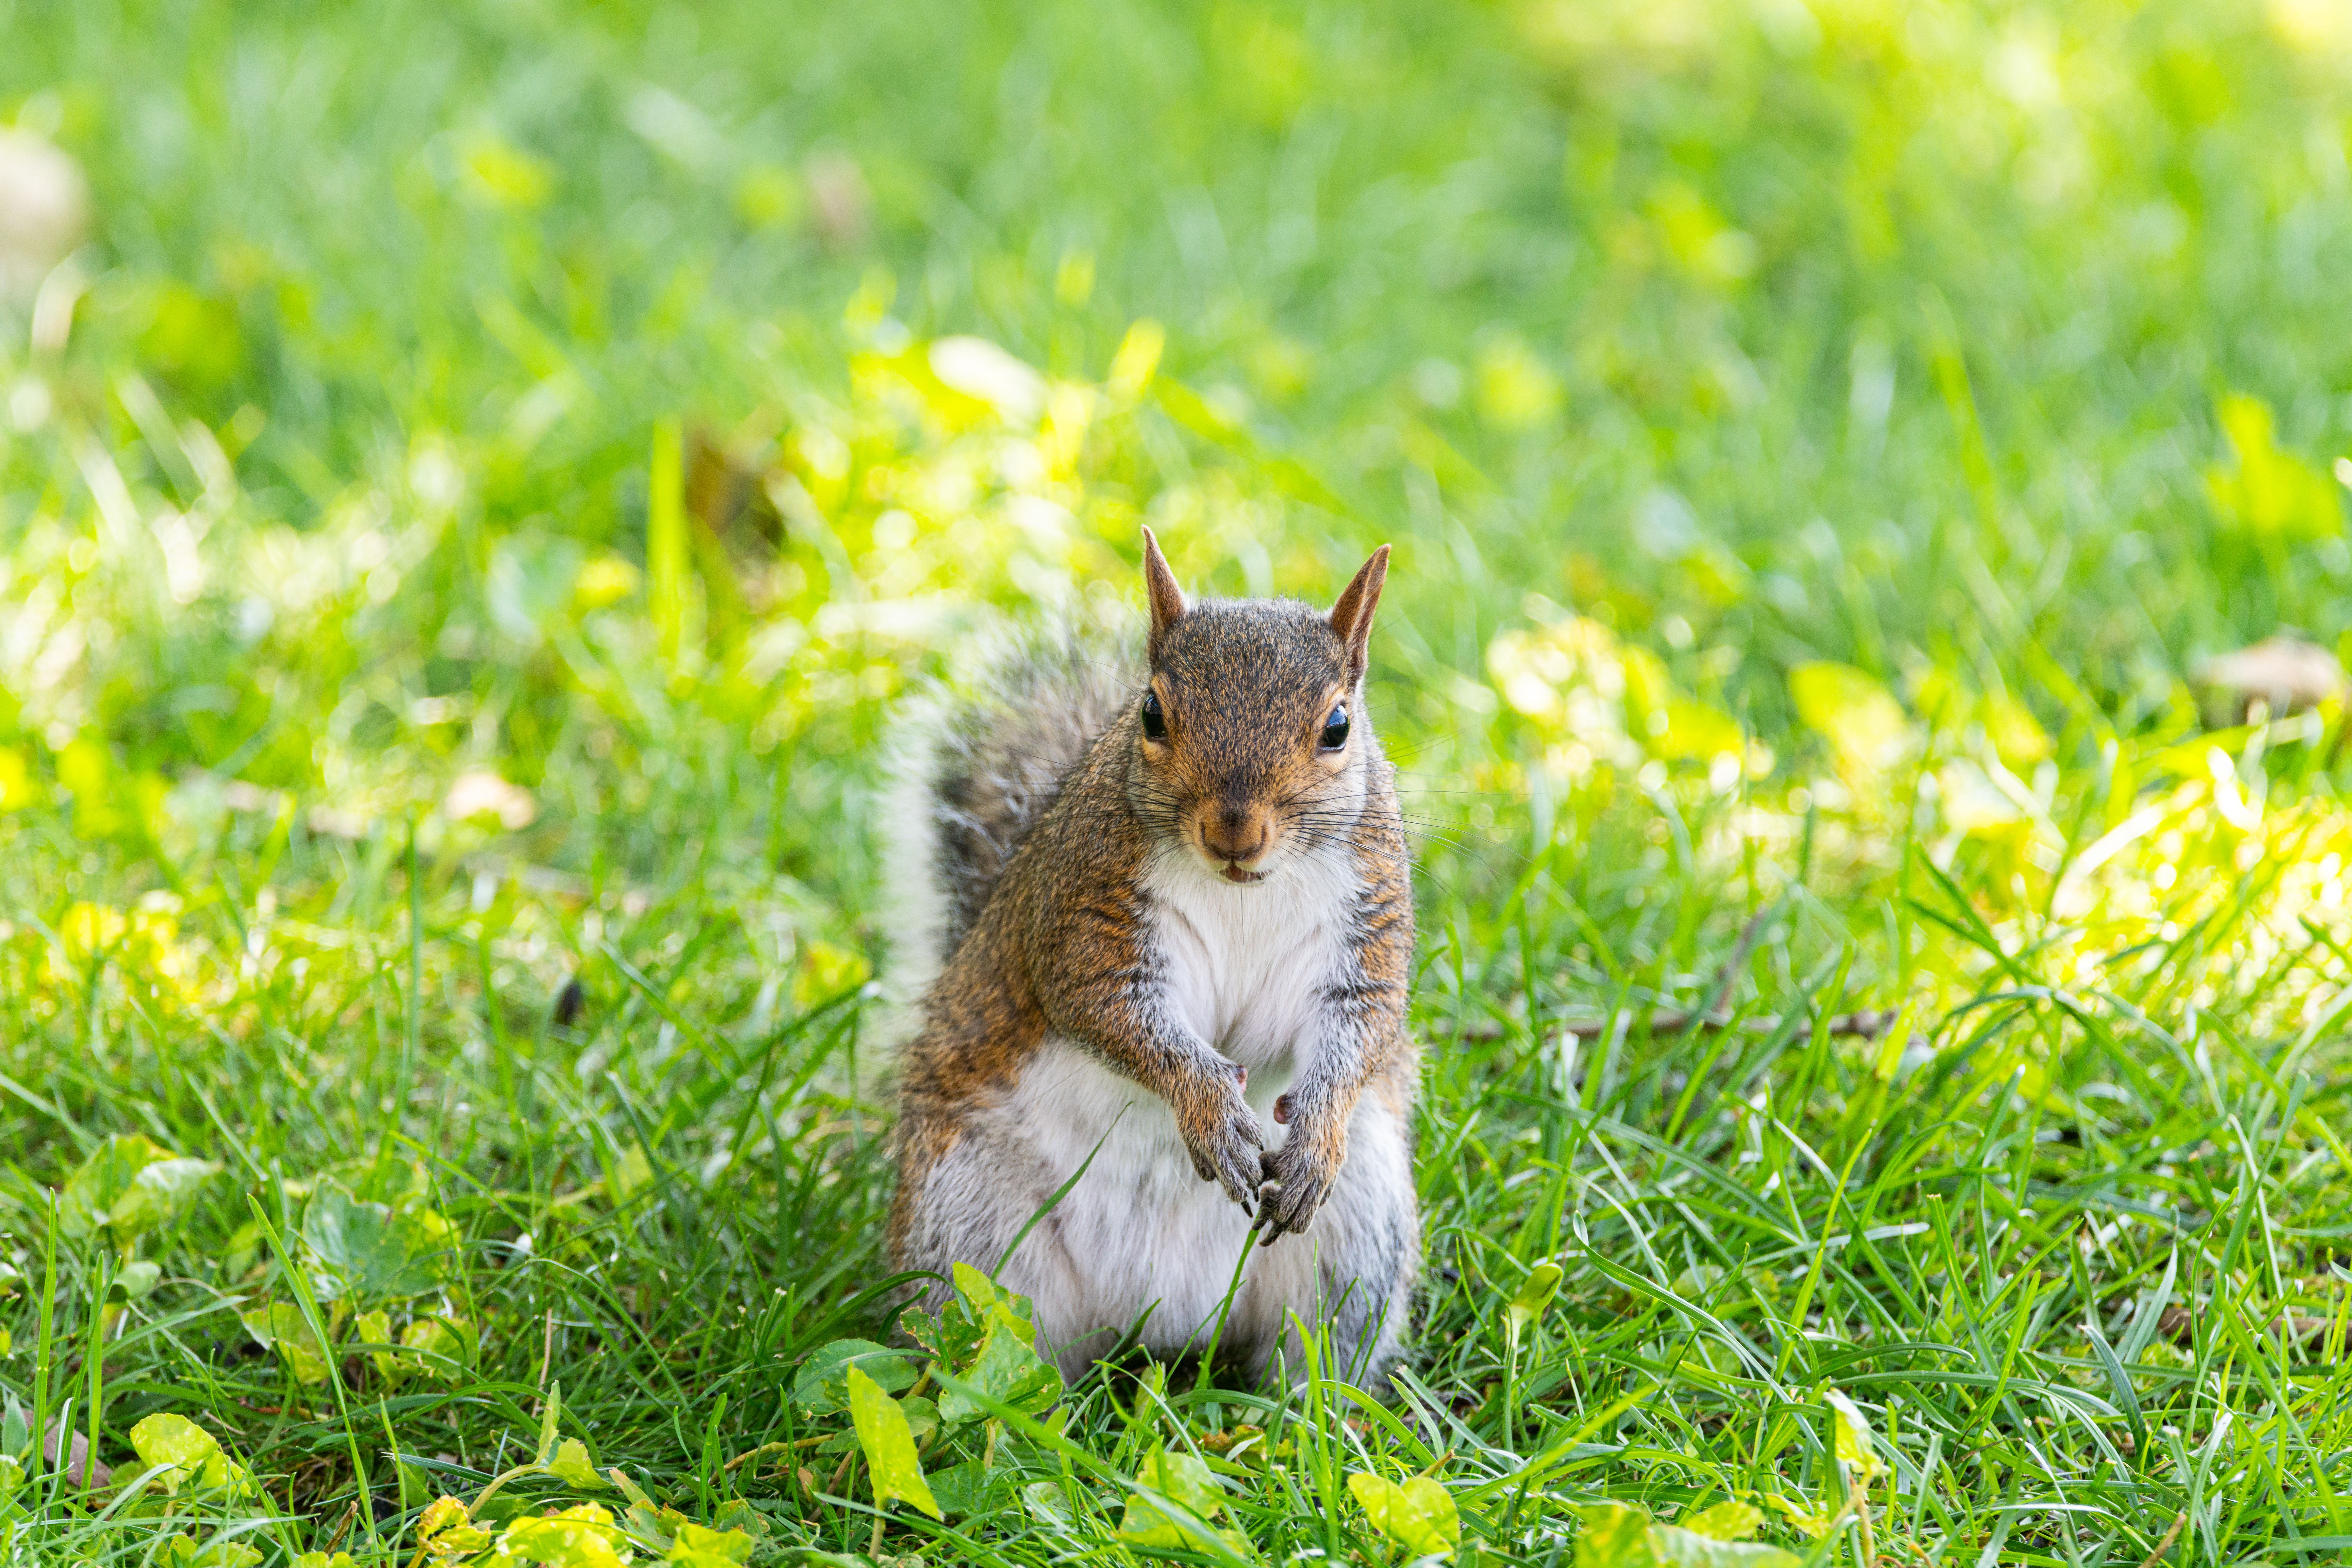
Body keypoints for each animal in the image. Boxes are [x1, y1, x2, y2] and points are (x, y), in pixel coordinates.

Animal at [879, 529, 1418, 1385]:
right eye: (1152, 713)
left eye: (1338, 726)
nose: (1234, 831)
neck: (1242, 888)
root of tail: (1162, 1320)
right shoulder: (1087, 913)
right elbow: (1109, 1011)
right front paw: (1209, 1110)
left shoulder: (1369, 922)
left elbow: (1363, 1025)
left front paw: (1313, 1139)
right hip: (967, 1226)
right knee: (988, 1354)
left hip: (1359, 1235)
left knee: (1317, 1347)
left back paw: (1306, 1412)